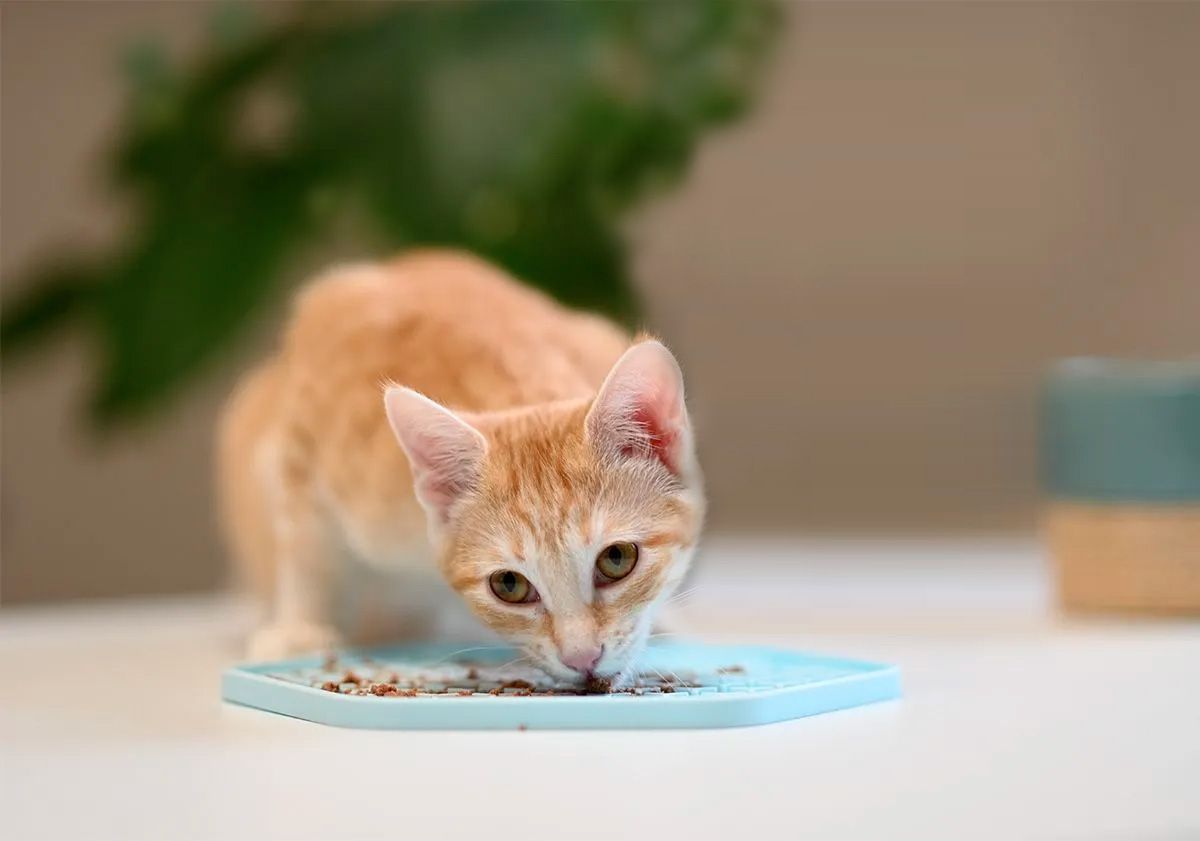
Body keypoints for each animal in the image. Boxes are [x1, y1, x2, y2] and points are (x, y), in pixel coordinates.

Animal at [218, 253, 700, 686]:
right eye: (509, 584)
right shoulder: (309, 411)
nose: (582, 658)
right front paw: (301, 627)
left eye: (617, 559)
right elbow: (306, 544)